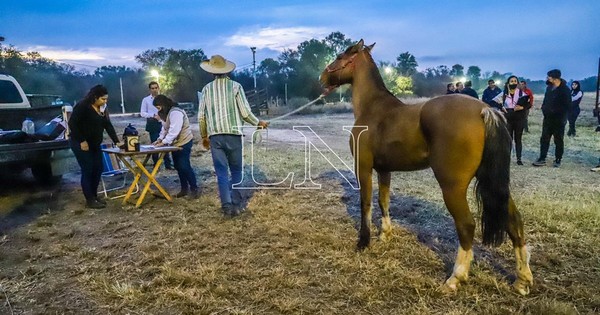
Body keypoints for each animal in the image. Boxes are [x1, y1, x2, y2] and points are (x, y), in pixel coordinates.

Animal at [318, 40, 536, 296]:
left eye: (340, 56)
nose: (322, 77)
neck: (374, 108)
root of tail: (485, 110)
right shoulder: (384, 170)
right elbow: (383, 201)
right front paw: (385, 234)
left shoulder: (363, 167)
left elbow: (366, 203)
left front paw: (364, 241)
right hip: (493, 182)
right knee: (514, 222)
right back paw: (522, 280)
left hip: (452, 187)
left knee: (467, 225)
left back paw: (455, 278)